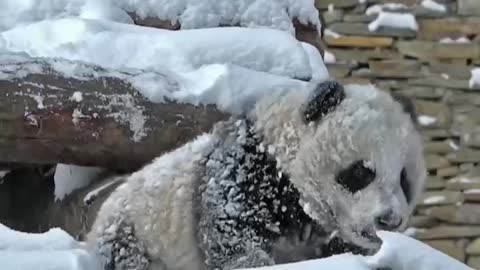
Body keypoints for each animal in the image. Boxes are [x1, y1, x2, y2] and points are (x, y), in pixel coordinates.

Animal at [85, 80, 424, 270]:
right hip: (136, 233)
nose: (389, 220)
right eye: (361, 172)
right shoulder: (244, 174)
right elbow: (233, 242)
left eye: (404, 180)